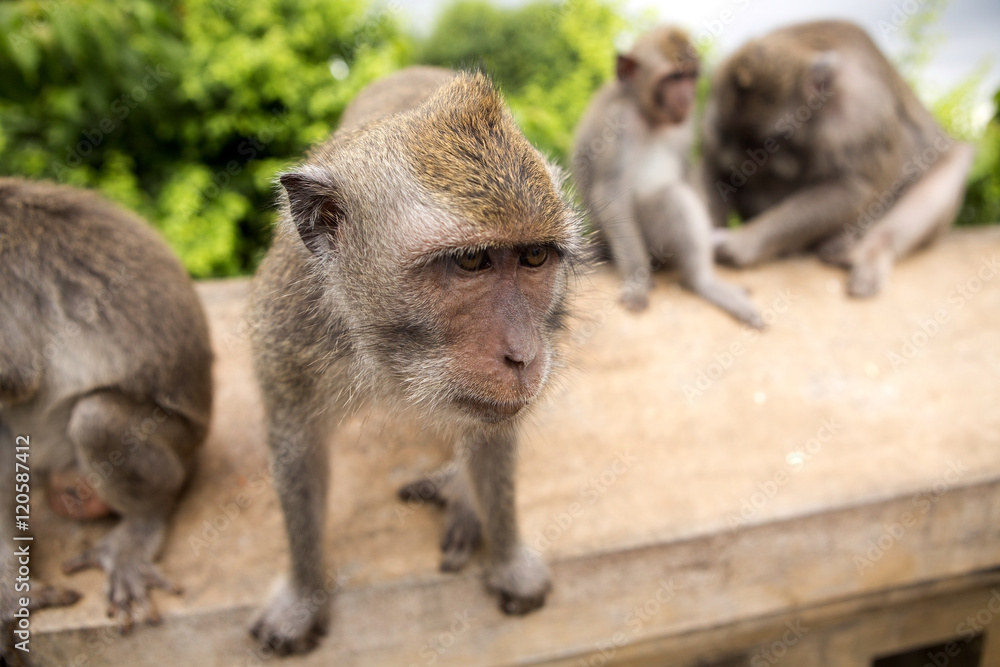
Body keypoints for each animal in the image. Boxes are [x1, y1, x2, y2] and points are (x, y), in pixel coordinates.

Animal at [247, 67, 586, 655]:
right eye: (471, 260)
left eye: (534, 256)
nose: (522, 354)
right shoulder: (286, 335)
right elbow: (299, 453)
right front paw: (303, 594)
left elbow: (494, 436)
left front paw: (506, 555)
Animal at [572, 25, 763, 328]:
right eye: (673, 77)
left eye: (690, 76)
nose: (687, 96)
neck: (647, 113)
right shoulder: (616, 123)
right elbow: (610, 191)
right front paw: (638, 280)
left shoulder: (685, 124)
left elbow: (685, 173)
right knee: (672, 197)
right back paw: (702, 282)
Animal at [702, 20, 975, 297]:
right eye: (731, 136)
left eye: (771, 142)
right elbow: (714, 167)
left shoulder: (859, 115)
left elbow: (851, 187)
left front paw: (740, 243)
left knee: (951, 166)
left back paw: (869, 250)